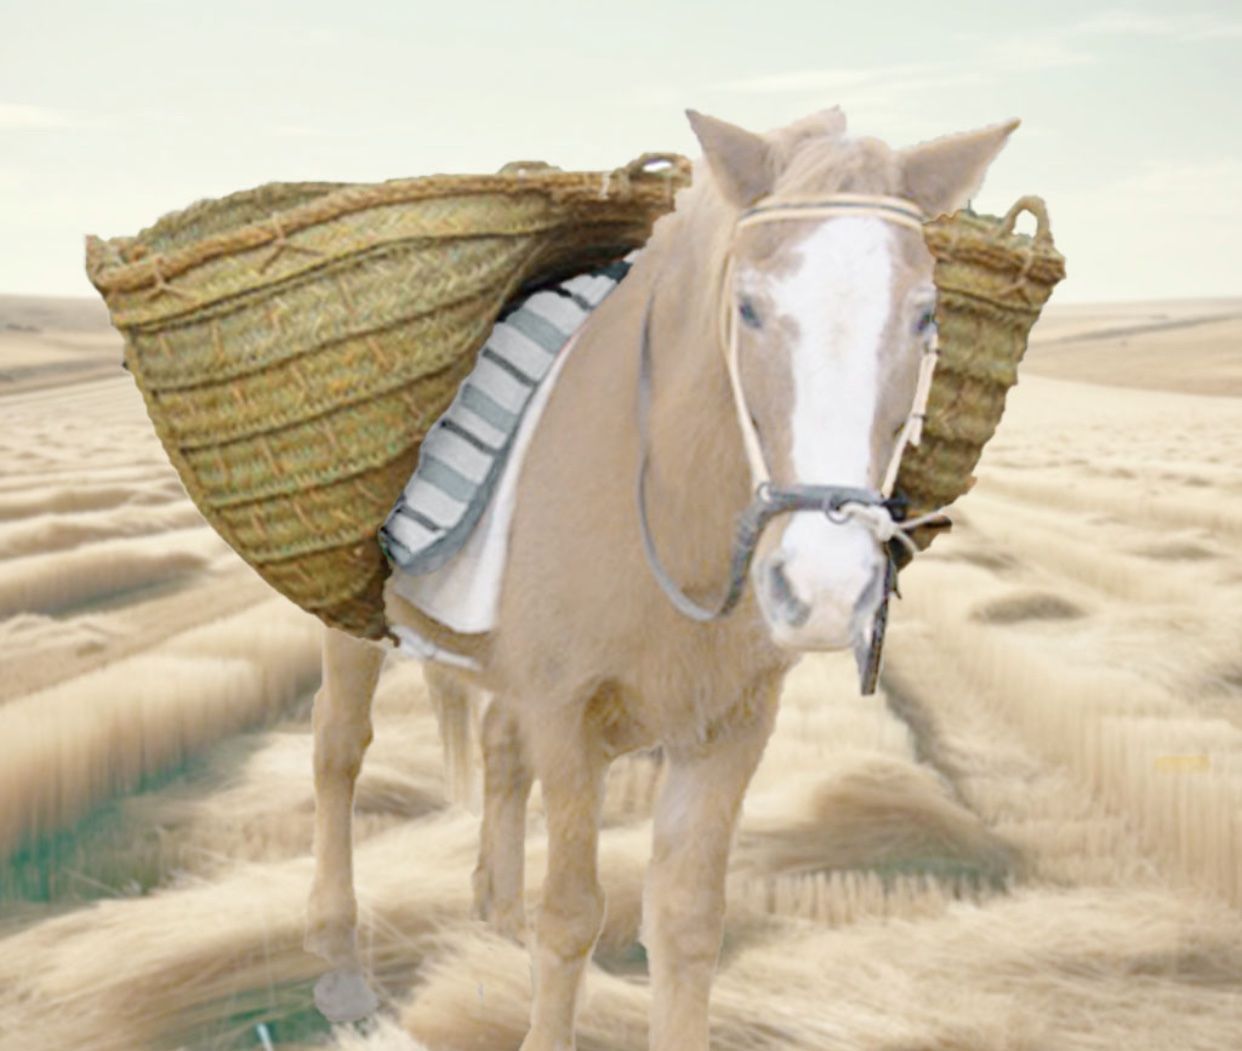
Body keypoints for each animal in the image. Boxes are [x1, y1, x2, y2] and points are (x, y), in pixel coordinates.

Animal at [302, 104, 1019, 1050]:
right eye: (748, 306)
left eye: (926, 315)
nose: (825, 590)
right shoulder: (569, 717)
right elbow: (572, 914)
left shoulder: (730, 729)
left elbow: (685, 920)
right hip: (350, 627)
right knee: (338, 750)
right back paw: (340, 962)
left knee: (496, 745)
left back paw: (492, 913)